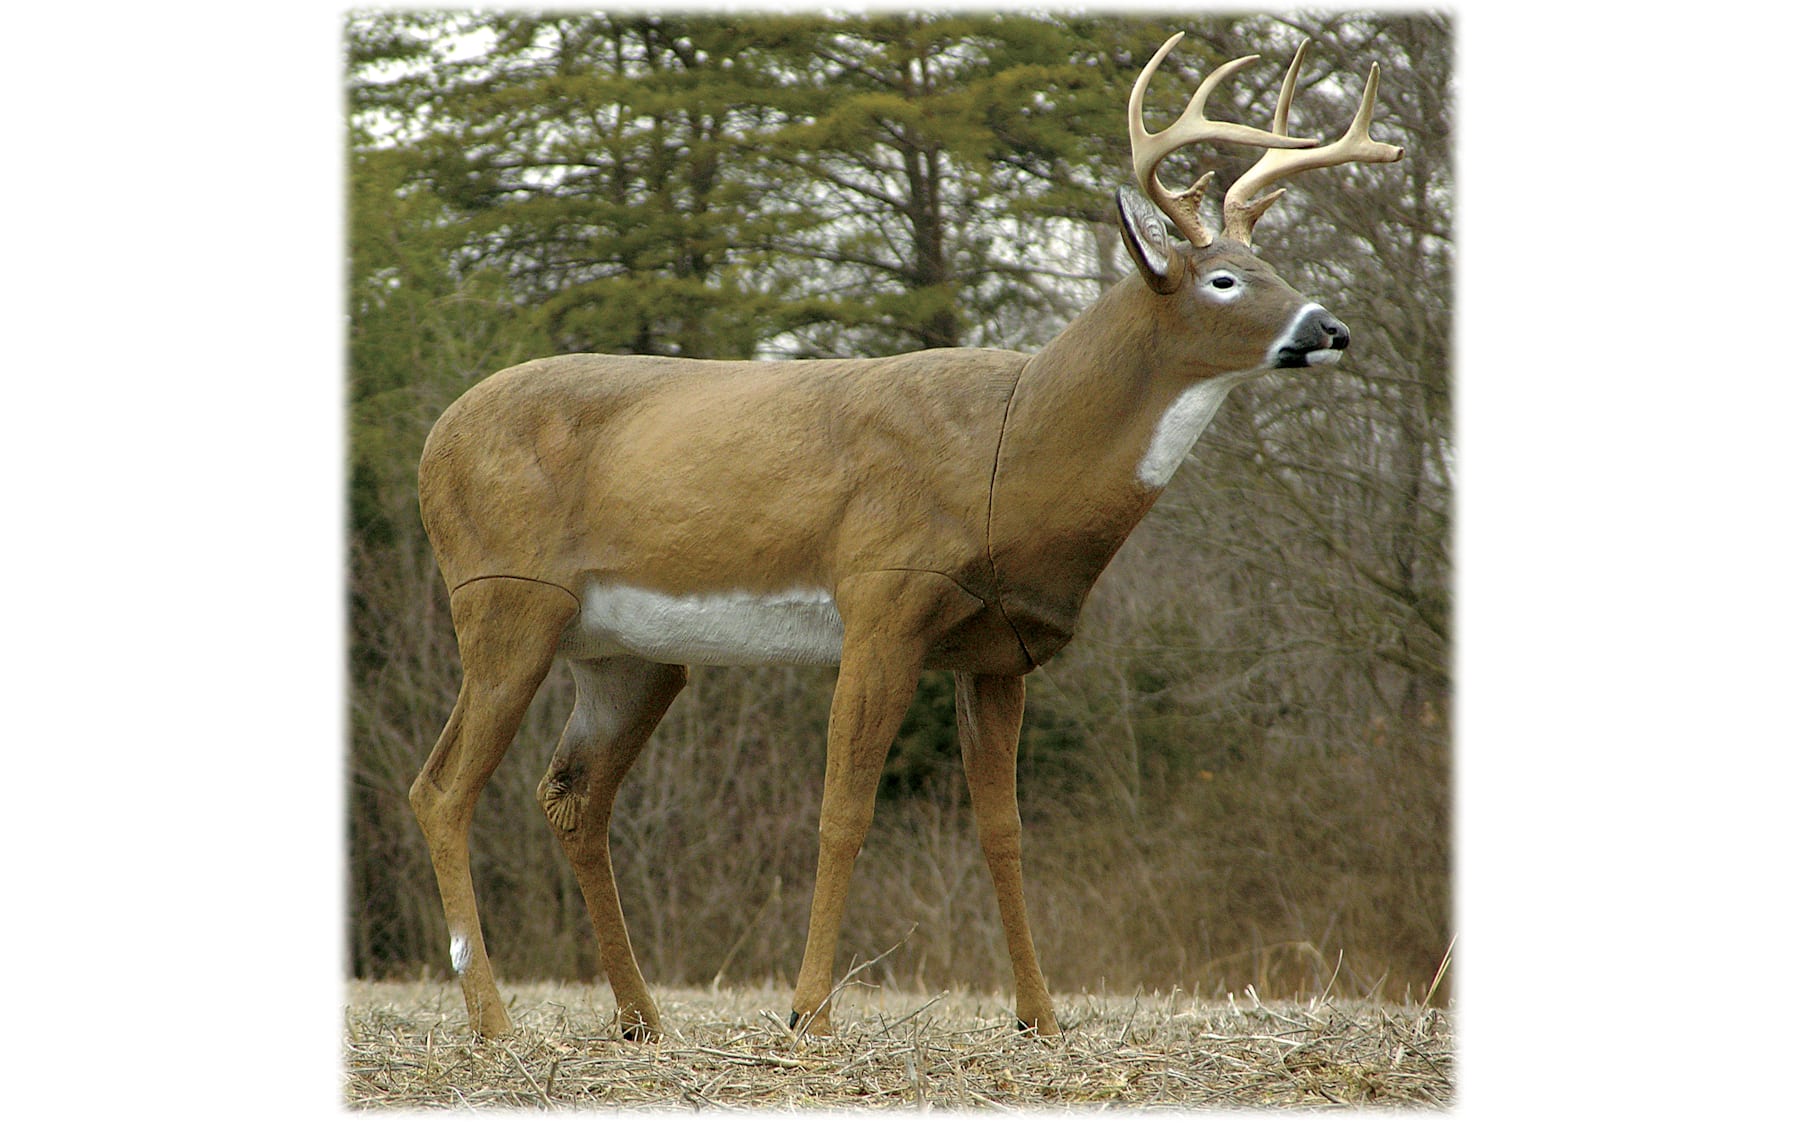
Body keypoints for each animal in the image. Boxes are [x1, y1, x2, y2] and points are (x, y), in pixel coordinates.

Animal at [407, 31, 1402, 1041]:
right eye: (1225, 279)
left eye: (1274, 265)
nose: (1330, 326)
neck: (1012, 454)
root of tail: (435, 438)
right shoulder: (883, 598)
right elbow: (844, 810)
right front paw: (809, 1014)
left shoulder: (999, 650)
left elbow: (1002, 828)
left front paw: (1040, 1019)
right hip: (504, 598)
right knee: (441, 789)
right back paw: (492, 1021)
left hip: (628, 653)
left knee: (572, 797)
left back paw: (640, 1018)